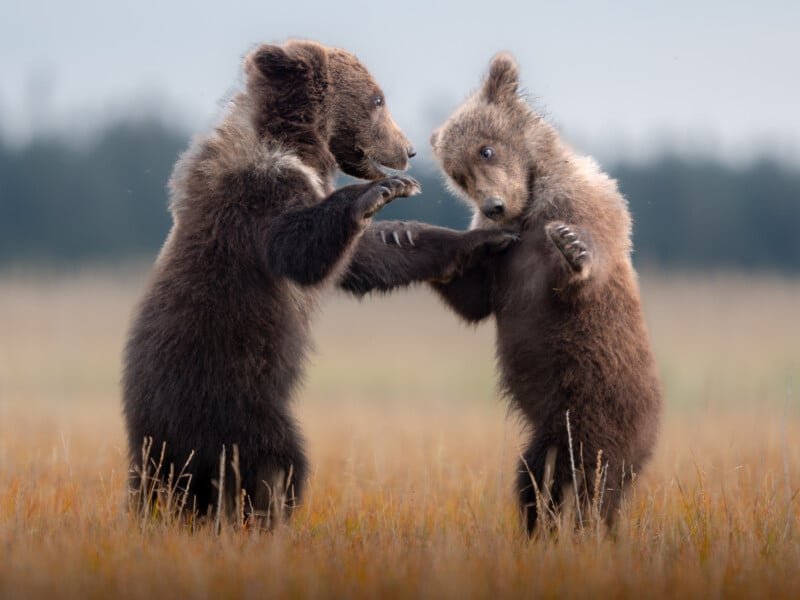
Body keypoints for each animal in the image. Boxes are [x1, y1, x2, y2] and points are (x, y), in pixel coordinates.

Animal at [122, 39, 514, 525]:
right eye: (377, 98)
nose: (408, 150)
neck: (296, 145)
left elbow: (372, 256)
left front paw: (484, 238)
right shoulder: (259, 196)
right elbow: (300, 250)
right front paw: (382, 191)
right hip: (231, 393)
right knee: (273, 461)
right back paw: (267, 515)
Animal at [428, 52, 663, 533]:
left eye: (486, 148)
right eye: (458, 175)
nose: (493, 206)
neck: (529, 208)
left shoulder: (582, 205)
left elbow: (585, 260)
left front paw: (573, 250)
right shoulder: (500, 259)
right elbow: (474, 300)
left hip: (607, 409)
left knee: (602, 487)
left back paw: (596, 529)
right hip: (551, 431)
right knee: (537, 480)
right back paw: (541, 527)